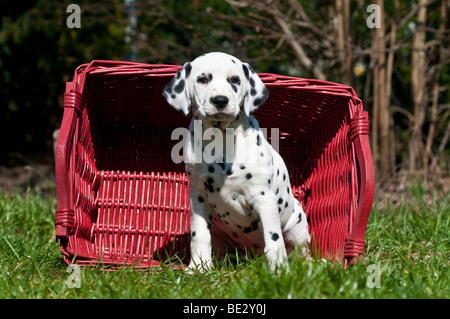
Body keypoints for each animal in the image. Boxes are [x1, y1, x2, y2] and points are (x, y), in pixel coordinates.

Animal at [163, 52, 310, 272]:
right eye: (202, 79)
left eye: (235, 80)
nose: (220, 100)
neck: (221, 138)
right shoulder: (198, 196)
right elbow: (199, 235)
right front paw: (197, 267)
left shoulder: (263, 198)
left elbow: (274, 239)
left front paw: (278, 270)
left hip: (296, 224)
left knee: (302, 255)